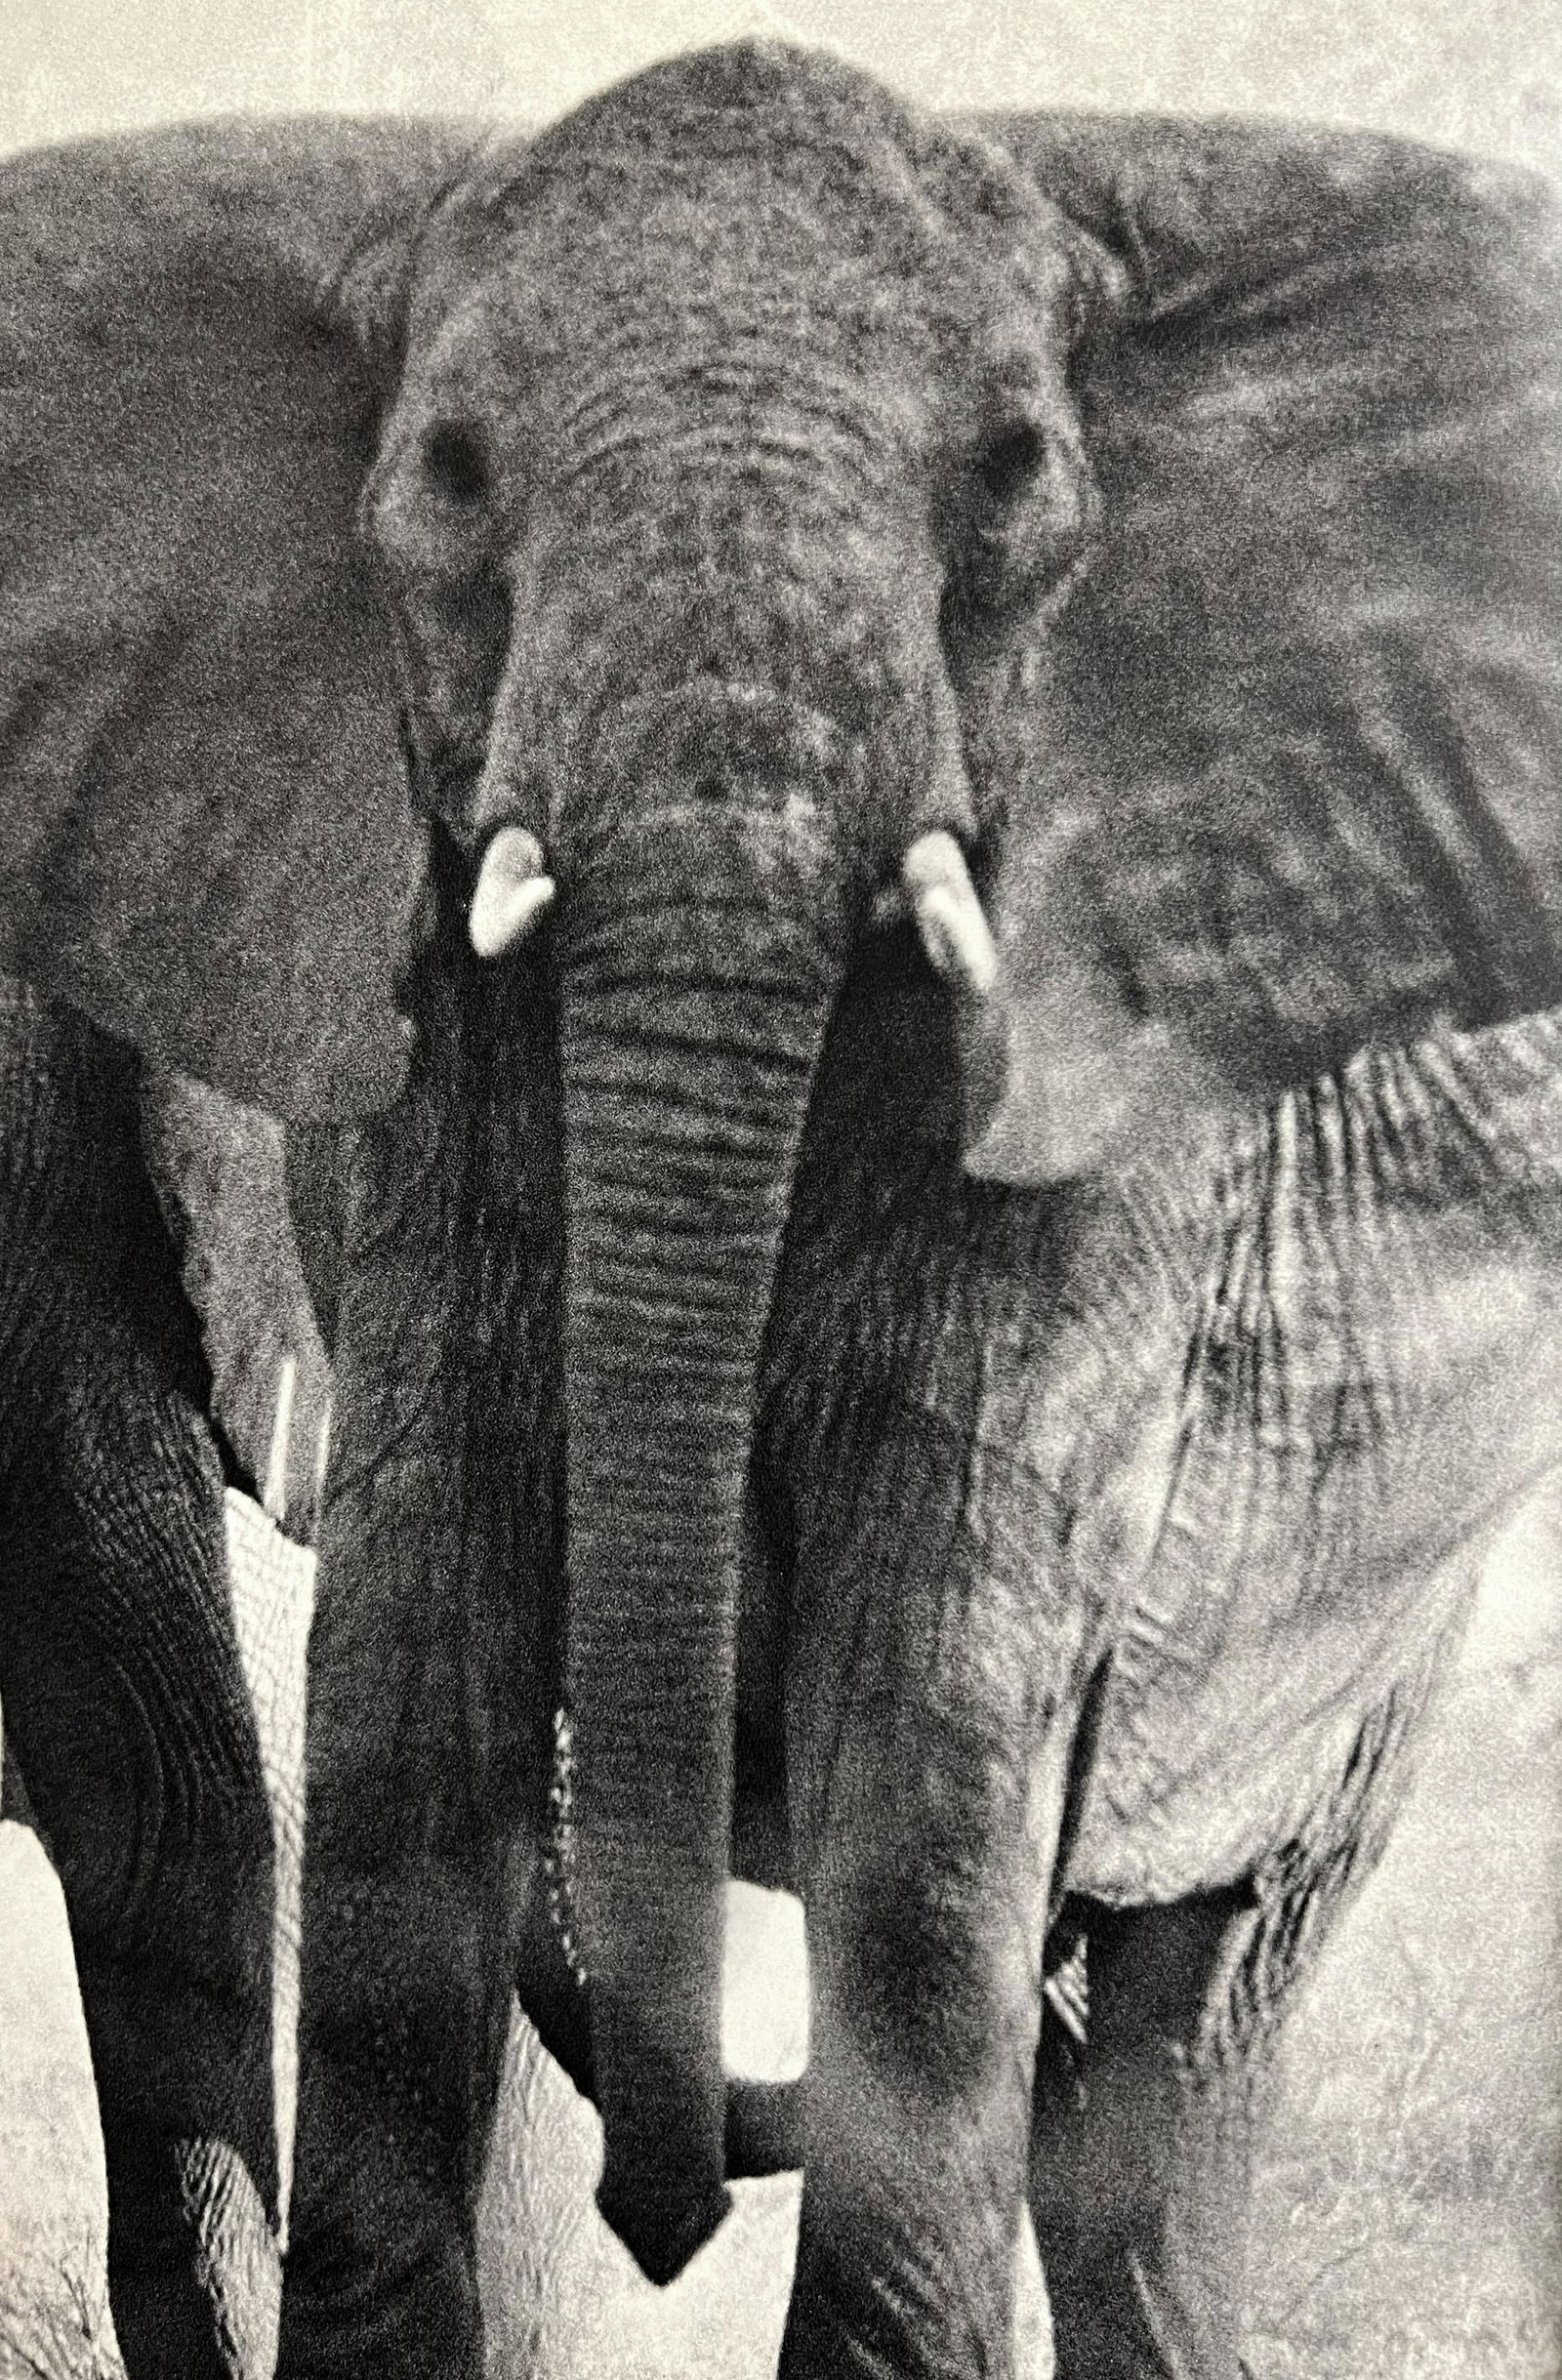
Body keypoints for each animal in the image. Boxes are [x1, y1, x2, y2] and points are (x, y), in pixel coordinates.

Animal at [0, 35, 1559, 2379]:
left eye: (1017, 477)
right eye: (448, 475)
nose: (666, 2209)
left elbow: (924, 1726)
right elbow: (408, 1680)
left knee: (1168, 2069)